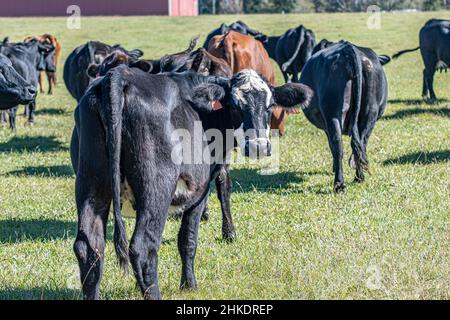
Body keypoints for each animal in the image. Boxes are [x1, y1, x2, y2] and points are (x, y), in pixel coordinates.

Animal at [298, 41, 386, 194]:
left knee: (338, 146)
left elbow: (331, 145)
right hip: (370, 112)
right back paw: (359, 177)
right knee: (361, 144)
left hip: (333, 113)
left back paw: (339, 183)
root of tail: (348, 48)